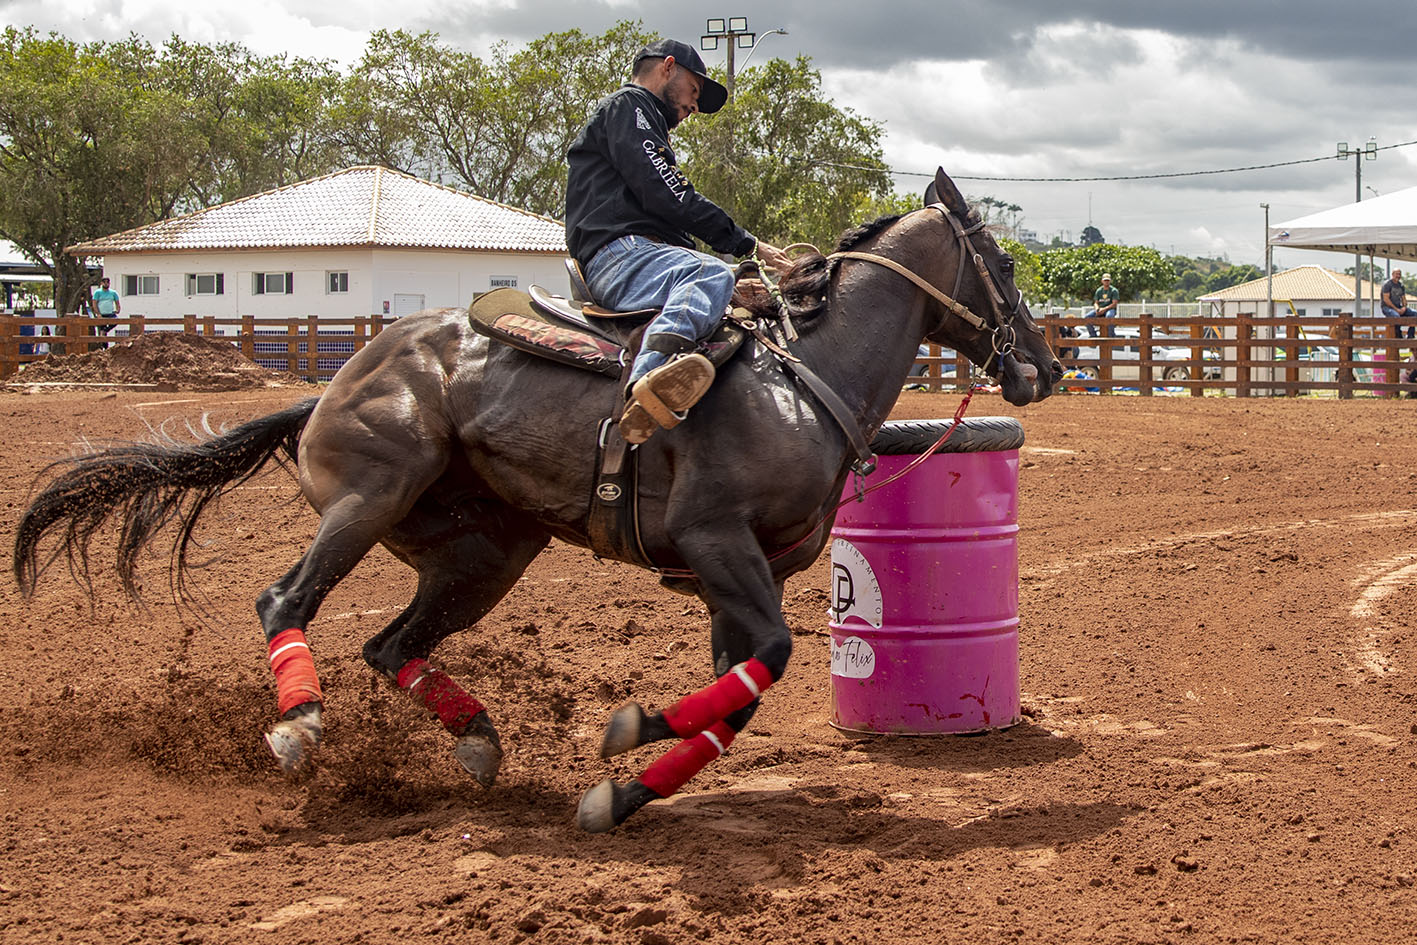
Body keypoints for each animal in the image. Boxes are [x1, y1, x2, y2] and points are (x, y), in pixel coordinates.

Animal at [8, 166, 1054, 833]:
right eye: (1003, 266)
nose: (1041, 368)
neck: (803, 377)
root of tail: (334, 381)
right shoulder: (715, 542)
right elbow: (768, 658)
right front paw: (630, 734)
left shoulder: (738, 572)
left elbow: (740, 694)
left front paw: (625, 788)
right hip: (370, 497)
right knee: (285, 599)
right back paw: (301, 724)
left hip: (486, 555)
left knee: (389, 643)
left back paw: (474, 740)